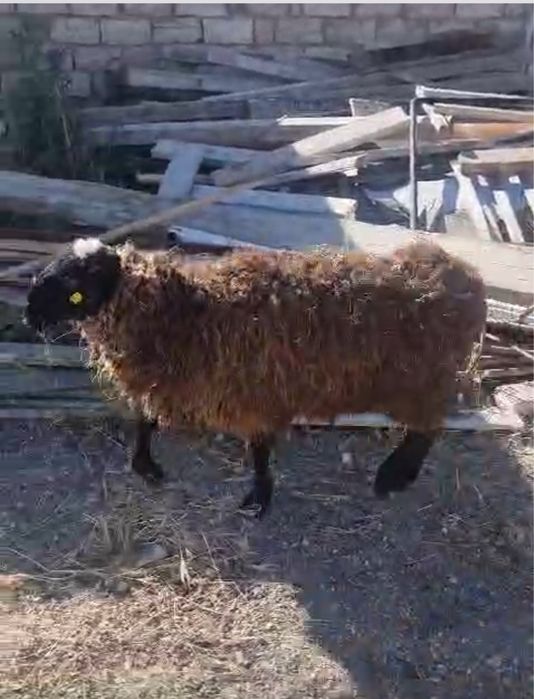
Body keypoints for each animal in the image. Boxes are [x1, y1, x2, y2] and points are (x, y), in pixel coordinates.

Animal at [26, 237, 486, 517]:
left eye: (72, 287)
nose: (30, 317)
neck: (182, 310)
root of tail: (463, 273)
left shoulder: (255, 397)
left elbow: (260, 451)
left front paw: (258, 498)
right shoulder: (167, 382)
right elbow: (145, 420)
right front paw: (144, 466)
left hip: (421, 380)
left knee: (427, 429)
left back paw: (393, 477)